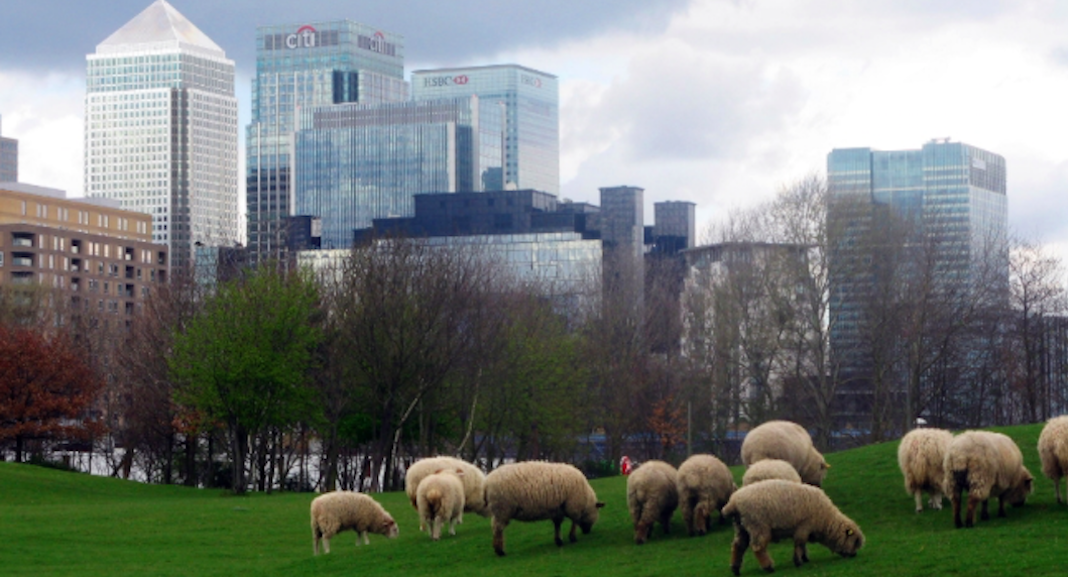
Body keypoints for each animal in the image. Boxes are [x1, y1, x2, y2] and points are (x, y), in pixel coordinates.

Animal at [721, 478, 862, 577]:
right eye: (854, 541)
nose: (854, 555)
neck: (826, 520)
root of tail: (733, 502)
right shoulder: (804, 525)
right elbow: (799, 543)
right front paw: (798, 561)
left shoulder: (805, 528)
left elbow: (803, 544)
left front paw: (804, 558)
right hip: (758, 525)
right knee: (758, 547)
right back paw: (768, 567)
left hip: (741, 527)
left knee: (738, 546)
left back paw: (735, 568)